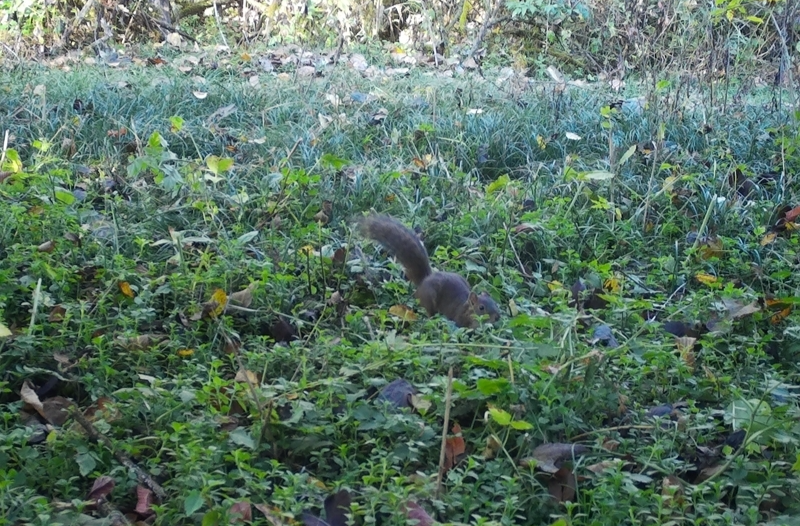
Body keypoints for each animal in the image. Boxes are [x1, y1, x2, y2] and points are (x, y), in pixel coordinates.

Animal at [358, 212, 496, 328]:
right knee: (430, 312)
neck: (467, 308)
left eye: (496, 304)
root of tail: (425, 279)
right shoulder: (459, 319)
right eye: (481, 308)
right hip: (429, 299)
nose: (497, 317)